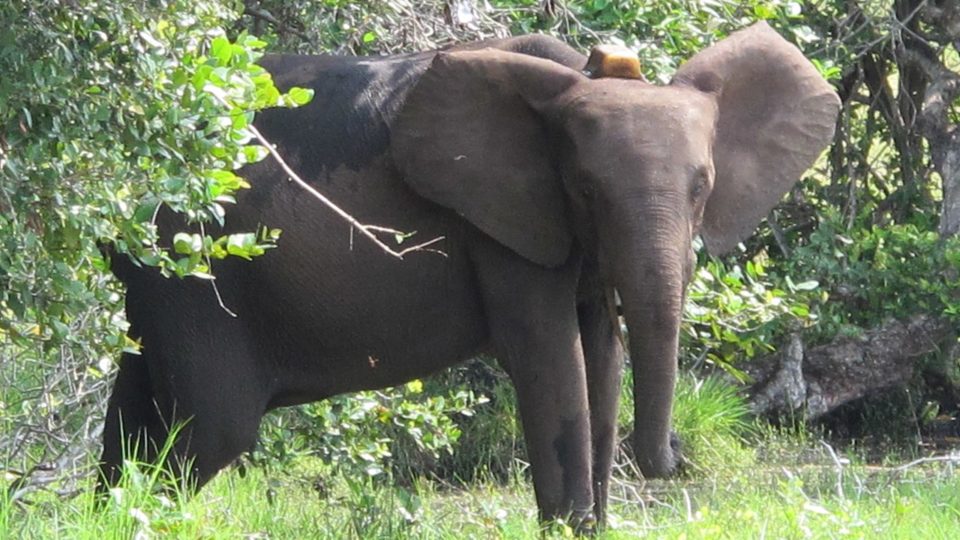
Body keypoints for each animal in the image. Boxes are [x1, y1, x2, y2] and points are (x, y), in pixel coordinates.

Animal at [99, 22, 838, 529]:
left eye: (702, 187)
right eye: (587, 189)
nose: (674, 459)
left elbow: (600, 360)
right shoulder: (502, 230)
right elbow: (552, 360)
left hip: (155, 281)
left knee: (135, 412)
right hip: (189, 271)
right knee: (210, 431)